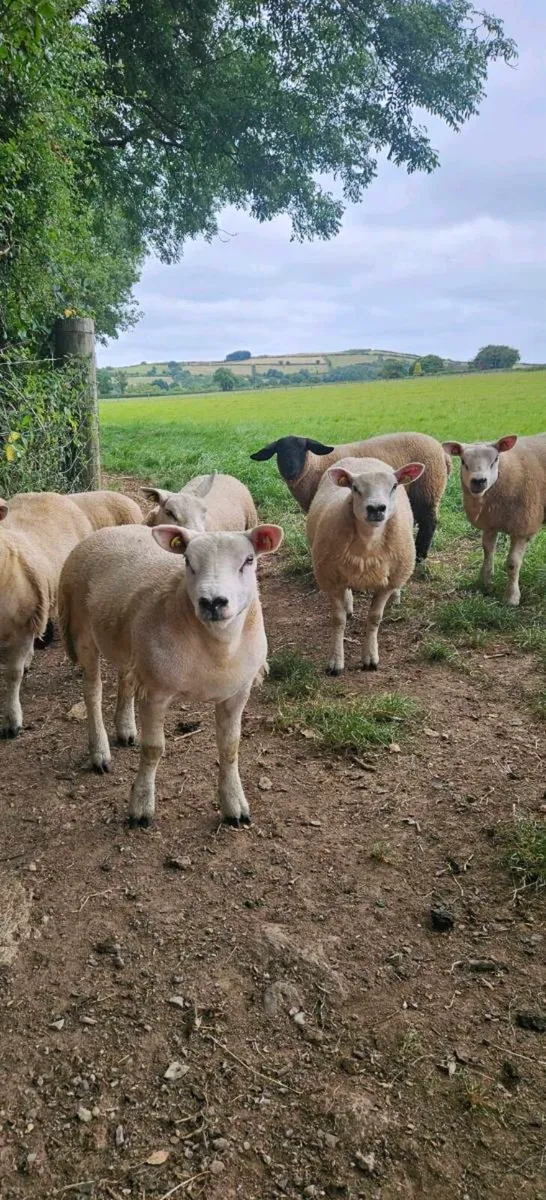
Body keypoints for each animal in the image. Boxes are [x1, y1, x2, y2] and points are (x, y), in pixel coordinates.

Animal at [58, 521, 283, 828]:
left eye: (248, 560)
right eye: (187, 561)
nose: (212, 602)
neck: (216, 649)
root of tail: (111, 529)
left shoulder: (237, 692)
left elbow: (230, 747)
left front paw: (234, 805)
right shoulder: (155, 692)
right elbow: (153, 749)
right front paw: (141, 806)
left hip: (127, 641)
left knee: (125, 678)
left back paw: (125, 729)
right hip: (82, 632)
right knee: (92, 692)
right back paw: (100, 752)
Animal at [251, 432, 449, 561]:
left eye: (303, 449)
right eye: (279, 452)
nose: (290, 471)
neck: (314, 465)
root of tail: (442, 451)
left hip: (428, 490)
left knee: (429, 522)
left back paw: (420, 556)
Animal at [306, 457, 424, 673]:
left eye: (394, 486)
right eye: (355, 488)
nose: (376, 508)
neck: (369, 542)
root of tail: (363, 458)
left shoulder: (386, 583)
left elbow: (375, 618)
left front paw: (370, 657)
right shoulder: (331, 578)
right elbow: (338, 619)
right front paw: (336, 661)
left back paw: (396, 596)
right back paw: (348, 603)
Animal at [442, 434, 546, 605]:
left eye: (496, 459)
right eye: (463, 461)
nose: (478, 481)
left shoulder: (523, 528)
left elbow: (513, 563)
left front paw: (511, 597)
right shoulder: (490, 523)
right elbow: (487, 551)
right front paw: (486, 583)